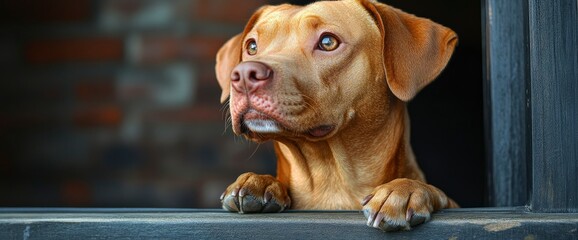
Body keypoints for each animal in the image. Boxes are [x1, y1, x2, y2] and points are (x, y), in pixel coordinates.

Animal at [214, 0, 456, 232]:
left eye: (328, 42)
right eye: (252, 46)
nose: (244, 74)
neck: (329, 178)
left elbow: (440, 194)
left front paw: (403, 189)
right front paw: (260, 181)